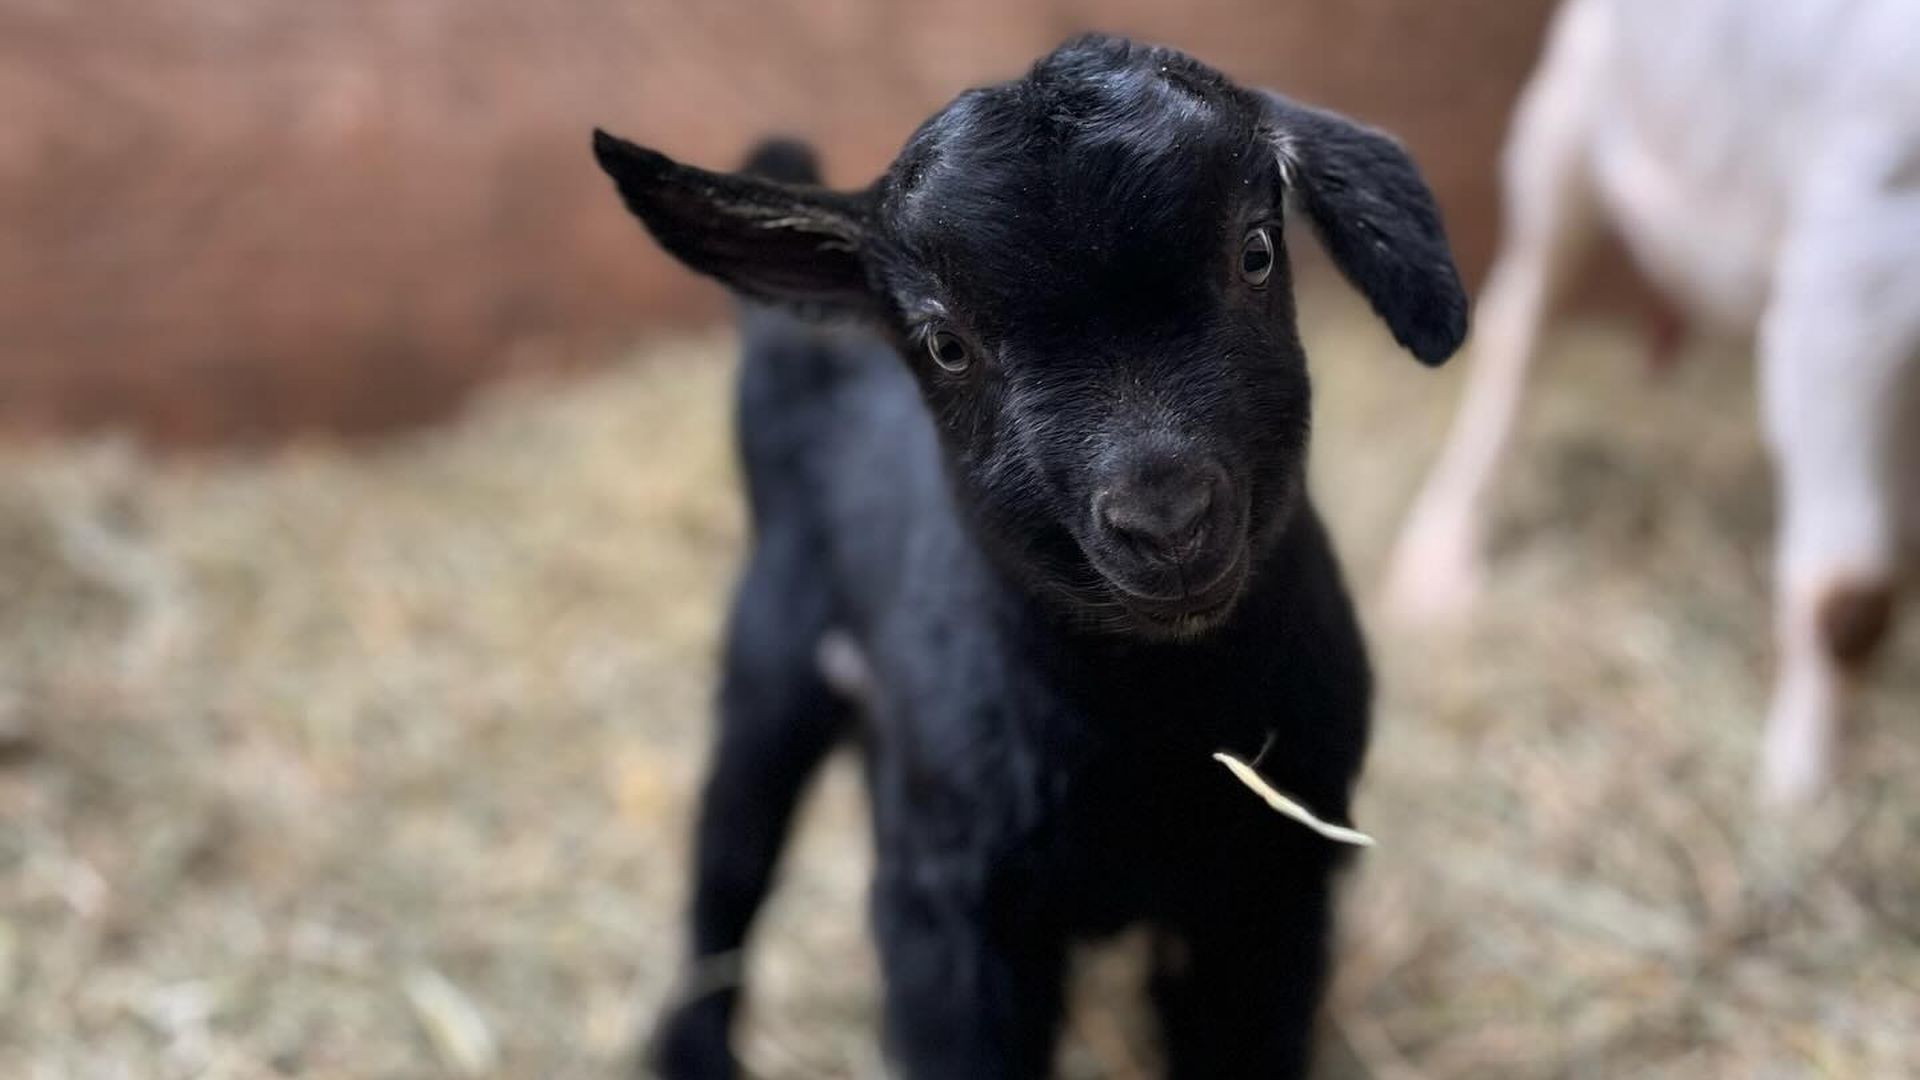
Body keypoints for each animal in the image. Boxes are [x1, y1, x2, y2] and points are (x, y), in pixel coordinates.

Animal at [594, 34, 1466, 1079]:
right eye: (946, 343)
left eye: (1255, 253)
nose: (1166, 519)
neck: (1157, 727)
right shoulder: (952, 919)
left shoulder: (1273, 890)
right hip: (769, 666)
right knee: (727, 862)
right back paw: (695, 1048)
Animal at [1382, 0, 1920, 808]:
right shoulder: (1860, 251)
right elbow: (1848, 592)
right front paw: (1795, 792)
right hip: (1572, 105)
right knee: (1519, 318)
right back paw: (1436, 561)